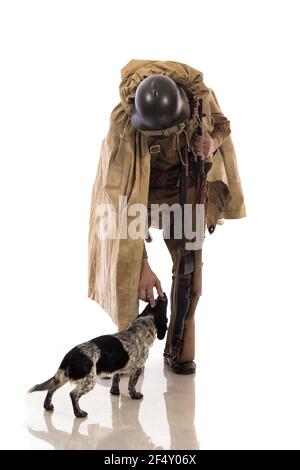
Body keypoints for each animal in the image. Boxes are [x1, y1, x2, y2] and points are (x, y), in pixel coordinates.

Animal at [29, 294, 168, 418]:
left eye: (154, 302)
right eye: (164, 304)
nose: (163, 294)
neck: (140, 328)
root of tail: (69, 356)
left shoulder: (118, 367)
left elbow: (115, 379)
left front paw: (115, 392)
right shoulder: (137, 367)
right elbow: (132, 385)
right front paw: (135, 395)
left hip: (62, 377)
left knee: (51, 388)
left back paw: (48, 406)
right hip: (89, 381)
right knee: (73, 394)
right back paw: (79, 413)